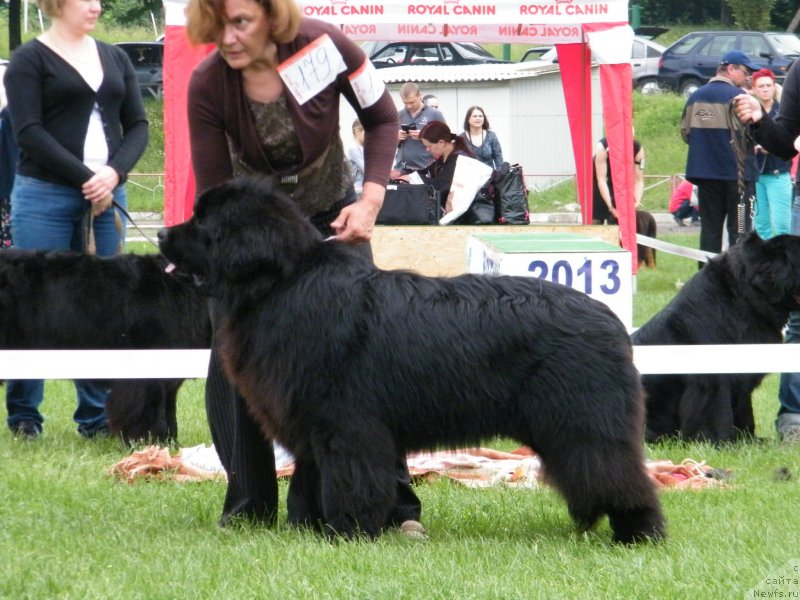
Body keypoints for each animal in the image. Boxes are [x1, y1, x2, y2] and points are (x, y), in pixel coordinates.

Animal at [158, 178, 664, 544]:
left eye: (203, 222)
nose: (162, 233)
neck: (278, 284)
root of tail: (610, 321)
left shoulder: (347, 425)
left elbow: (349, 481)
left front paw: (347, 532)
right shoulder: (313, 427)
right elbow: (309, 481)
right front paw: (308, 529)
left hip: (583, 425)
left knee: (620, 476)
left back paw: (639, 534)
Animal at [632, 232, 800, 442]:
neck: (744, 300)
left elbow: (744, 410)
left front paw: (748, 439)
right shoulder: (711, 379)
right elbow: (716, 411)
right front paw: (719, 441)